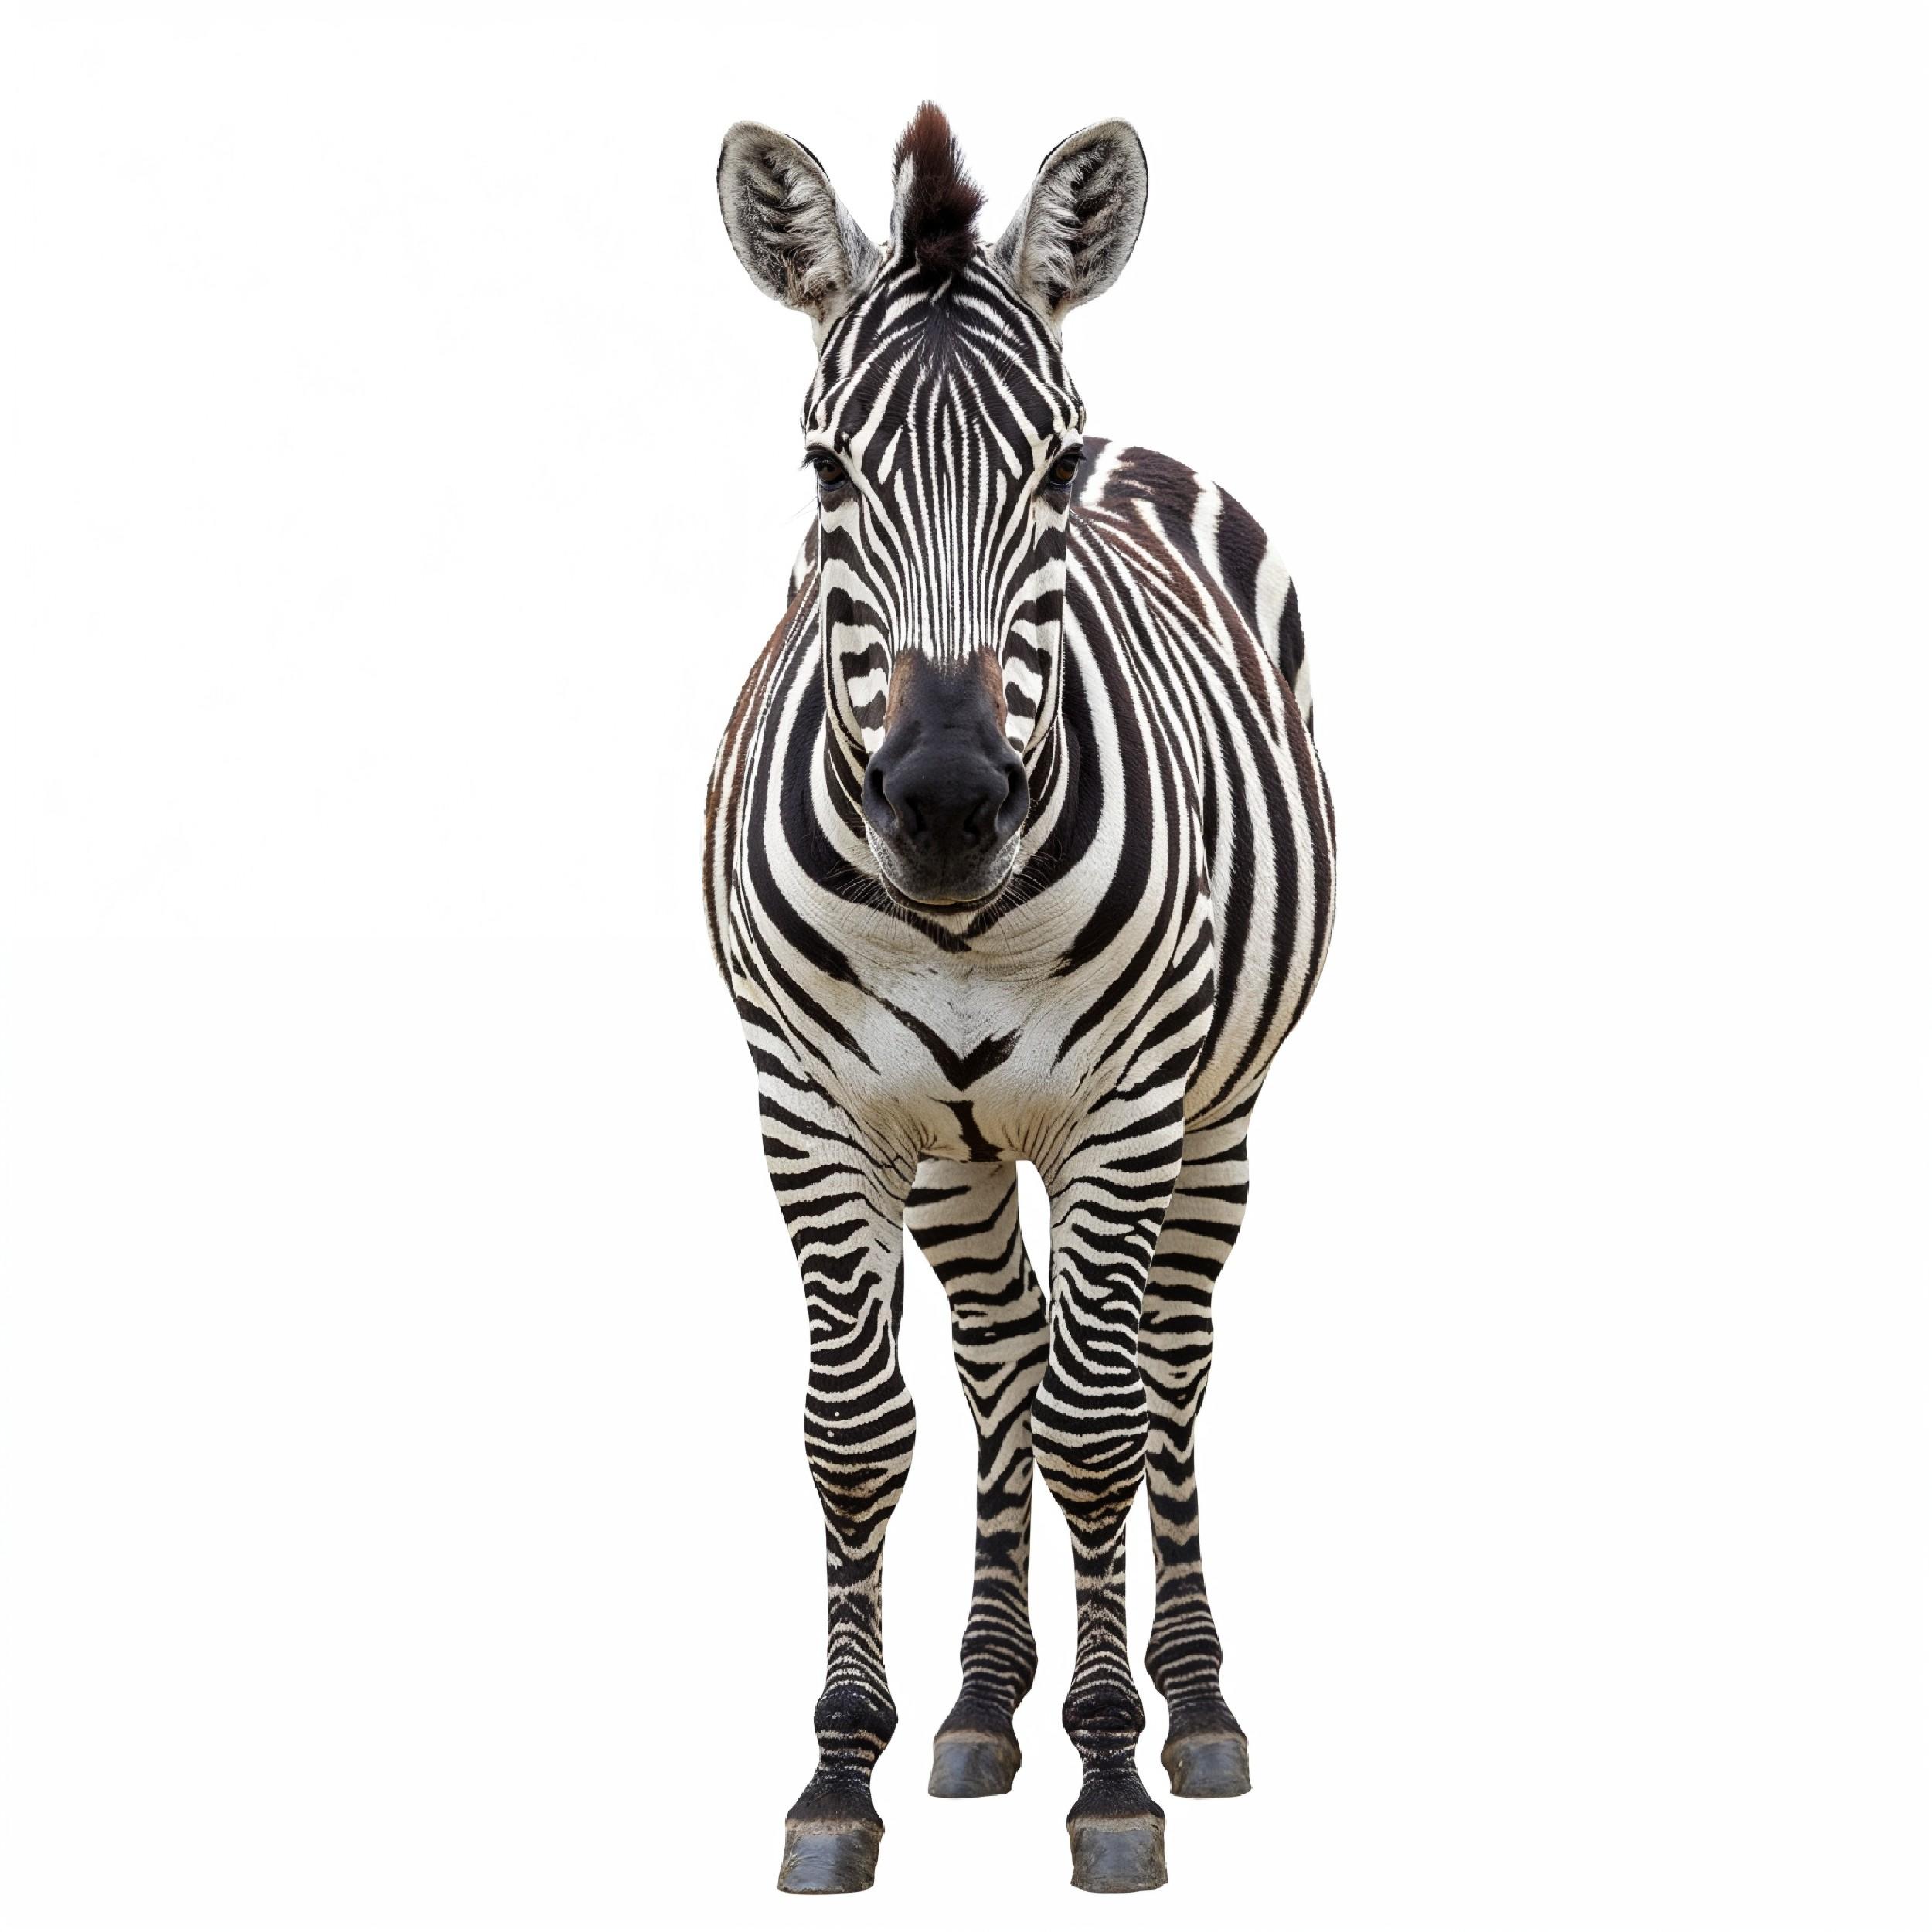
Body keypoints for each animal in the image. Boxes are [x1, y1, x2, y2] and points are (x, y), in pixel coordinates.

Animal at [706, 104, 1334, 1895]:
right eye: (824, 470)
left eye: (1043, 474)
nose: (942, 801)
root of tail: (1153, 450)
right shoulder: (815, 1113)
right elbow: (860, 1429)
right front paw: (839, 1776)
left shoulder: (1125, 1109)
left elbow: (1100, 1420)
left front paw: (1112, 1771)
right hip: (959, 1143)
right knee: (997, 1367)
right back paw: (983, 1702)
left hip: (1214, 1112)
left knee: (1164, 1368)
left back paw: (1190, 1702)